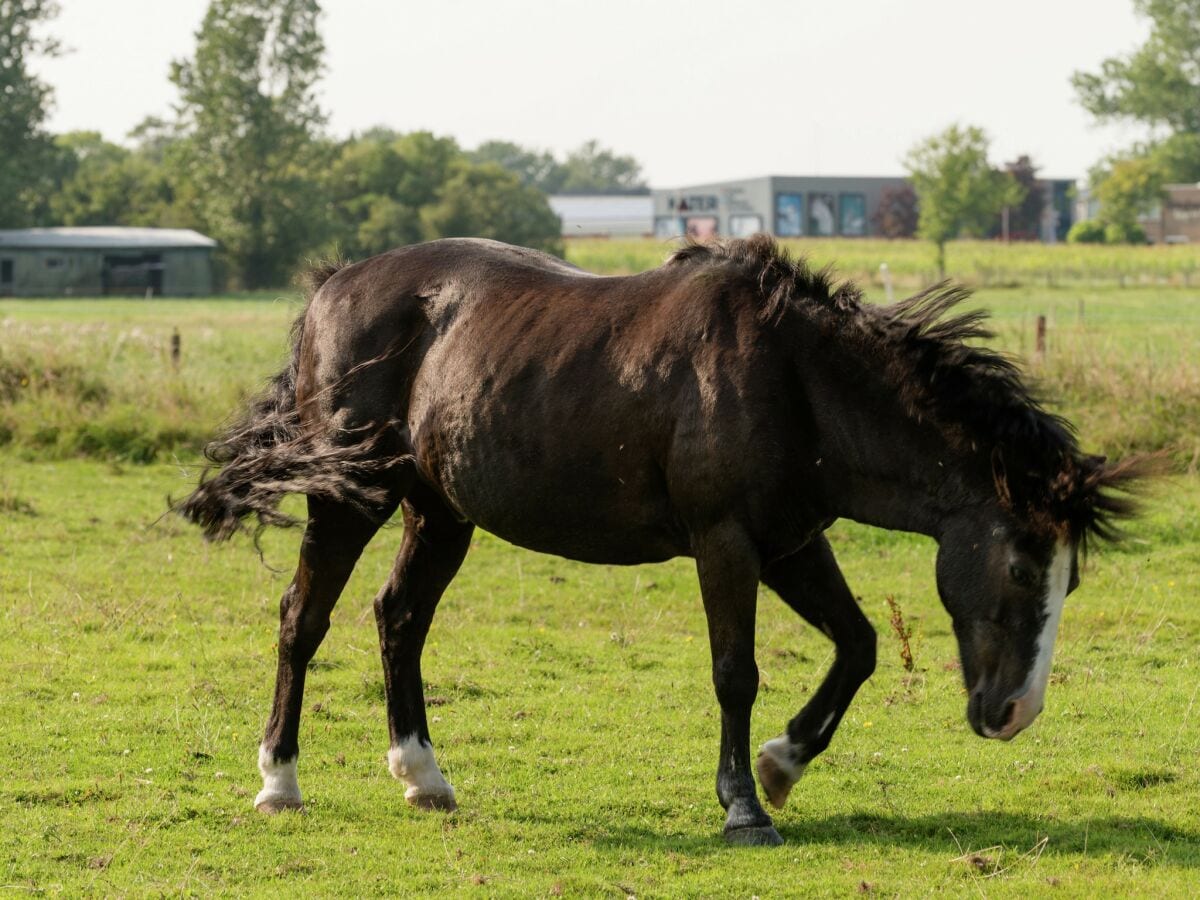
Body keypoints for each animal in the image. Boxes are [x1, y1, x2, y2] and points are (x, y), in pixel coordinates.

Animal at [177, 236, 1142, 849]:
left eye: (1069, 581)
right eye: (1019, 562)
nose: (1014, 713)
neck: (796, 379)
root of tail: (332, 286)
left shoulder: (792, 543)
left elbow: (860, 646)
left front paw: (784, 763)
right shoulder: (727, 543)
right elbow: (735, 673)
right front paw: (746, 807)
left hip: (440, 512)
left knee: (399, 619)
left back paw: (423, 776)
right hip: (351, 498)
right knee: (303, 620)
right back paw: (279, 783)